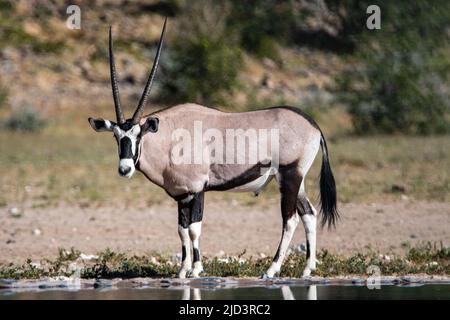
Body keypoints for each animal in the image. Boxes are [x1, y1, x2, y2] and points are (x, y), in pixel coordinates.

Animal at [88, 18, 338, 278]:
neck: (169, 138)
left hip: (290, 176)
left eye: (138, 135)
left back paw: (272, 269)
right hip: (295, 180)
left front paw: (196, 269)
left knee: (290, 220)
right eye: (116, 136)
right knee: (309, 214)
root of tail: (313, 125)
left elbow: (194, 228)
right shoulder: (182, 194)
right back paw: (307, 269)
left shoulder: (198, 189)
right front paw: (182, 270)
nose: (125, 169)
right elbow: (181, 229)